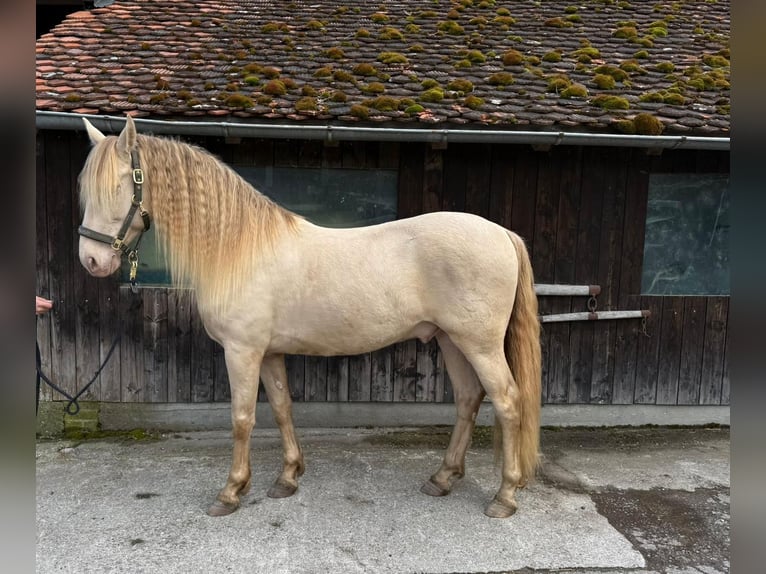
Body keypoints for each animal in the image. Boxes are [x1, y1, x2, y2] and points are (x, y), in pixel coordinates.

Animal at [77, 116, 542, 519]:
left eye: (119, 185)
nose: (92, 261)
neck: (240, 250)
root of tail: (502, 233)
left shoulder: (242, 351)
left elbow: (242, 419)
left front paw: (230, 492)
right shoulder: (268, 353)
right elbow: (283, 408)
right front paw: (288, 477)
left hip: (479, 344)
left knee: (507, 401)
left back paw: (504, 496)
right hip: (451, 339)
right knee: (468, 399)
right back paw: (443, 478)